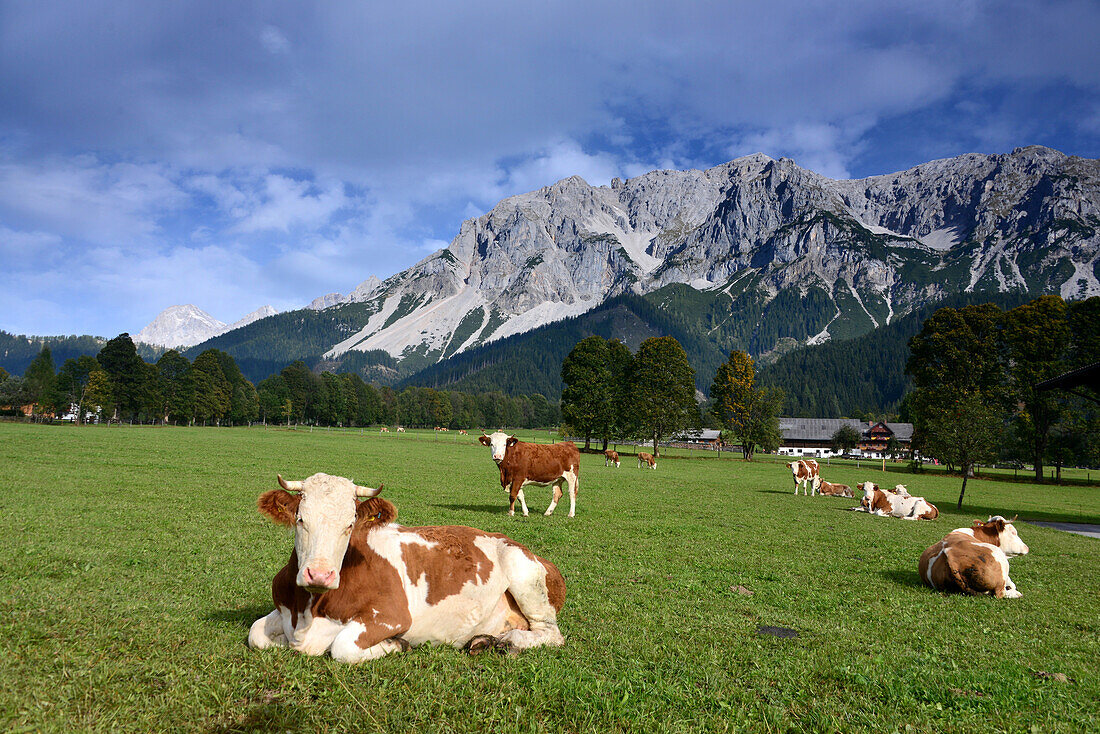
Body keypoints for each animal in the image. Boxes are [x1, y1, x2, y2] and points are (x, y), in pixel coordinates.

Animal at [249, 473, 567, 664]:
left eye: (350, 525)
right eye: (300, 519)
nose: (319, 574)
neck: (309, 612)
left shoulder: (392, 616)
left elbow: (343, 647)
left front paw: (398, 645)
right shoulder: (284, 610)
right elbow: (255, 634)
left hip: (524, 577)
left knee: (551, 634)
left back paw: (508, 642)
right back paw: (486, 641)